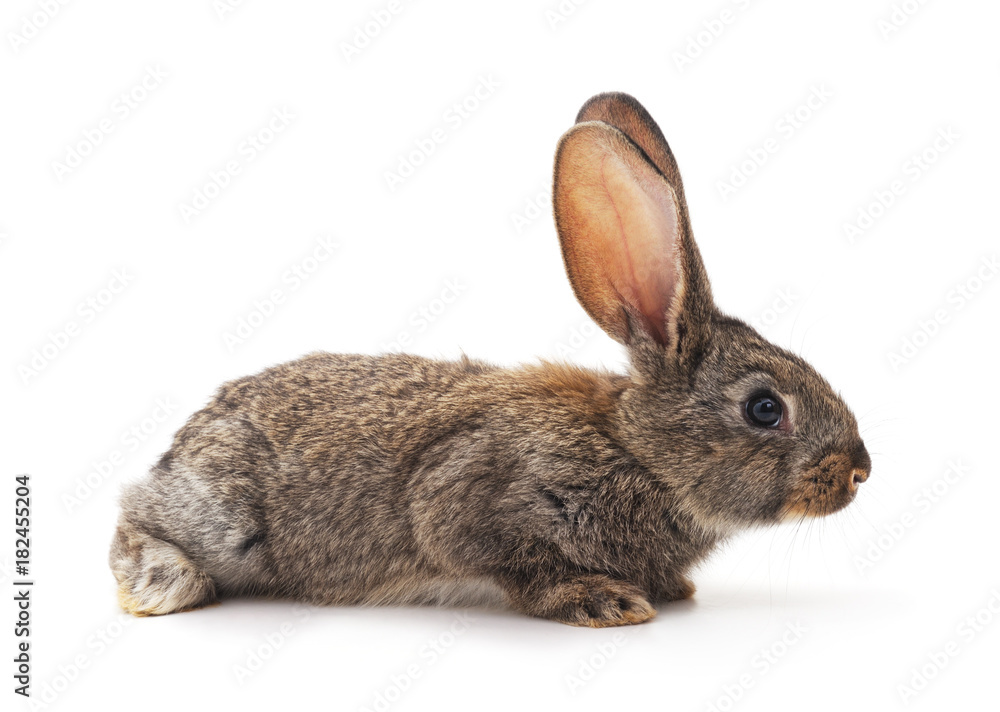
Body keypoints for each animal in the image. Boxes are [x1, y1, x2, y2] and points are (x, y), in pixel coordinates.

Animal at [110, 92, 871, 628]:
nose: (860, 470)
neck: (638, 451)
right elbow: (507, 561)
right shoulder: (474, 497)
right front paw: (604, 601)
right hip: (224, 517)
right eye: (765, 408)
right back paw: (162, 584)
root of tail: (184, 443)